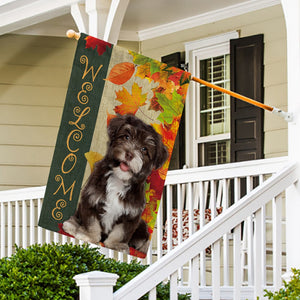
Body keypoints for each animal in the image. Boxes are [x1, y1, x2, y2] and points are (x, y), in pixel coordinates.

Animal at [62, 113, 169, 252]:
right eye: (126, 137)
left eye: (144, 149)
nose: (129, 154)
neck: (119, 179)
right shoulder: (91, 198)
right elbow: (91, 222)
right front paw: (88, 236)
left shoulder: (131, 215)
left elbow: (121, 232)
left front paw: (116, 245)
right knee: (78, 216)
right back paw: (71, 225)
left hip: (141, 225)